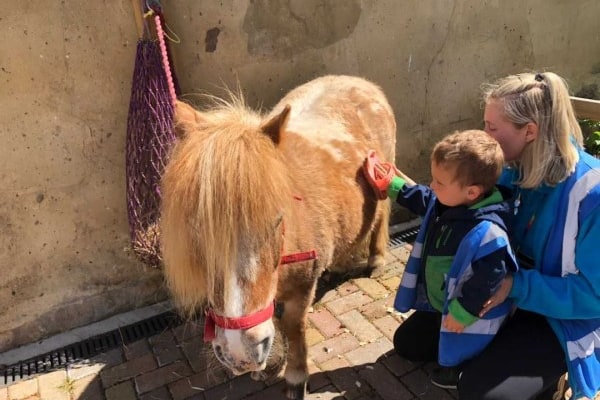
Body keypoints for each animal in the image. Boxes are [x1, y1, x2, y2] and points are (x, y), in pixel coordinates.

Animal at [161, 76, 394, 400]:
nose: (240, 352)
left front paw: (295, 376)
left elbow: (293, 327)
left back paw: (377, 260)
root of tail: (362, 83)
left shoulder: (300, 290)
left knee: (382, 213)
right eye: (197, 229)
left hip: (380, 177)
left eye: (276, 220)